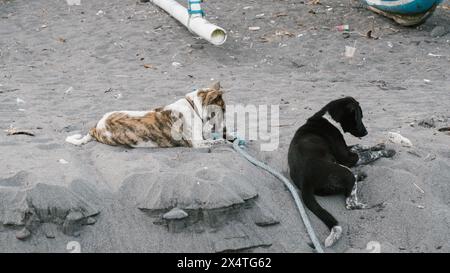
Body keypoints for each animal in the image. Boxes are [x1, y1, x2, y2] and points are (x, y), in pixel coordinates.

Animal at [65, 81, 227, 148]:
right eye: (224, 110)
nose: (225, 129)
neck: (193, 106)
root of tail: (96, 127)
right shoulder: (197, 143)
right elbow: (217, 142)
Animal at [288, 96, 394, 248]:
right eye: (359, 116)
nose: (366, 132)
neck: (329, 118)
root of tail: (305, 182)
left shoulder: (347, 150)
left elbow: (360, 145)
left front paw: (378, 145)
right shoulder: (348, 158)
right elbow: (368, 154)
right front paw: (386, 152)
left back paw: (361, 176)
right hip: (345, 172)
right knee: (351, 203)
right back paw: (377, 204)